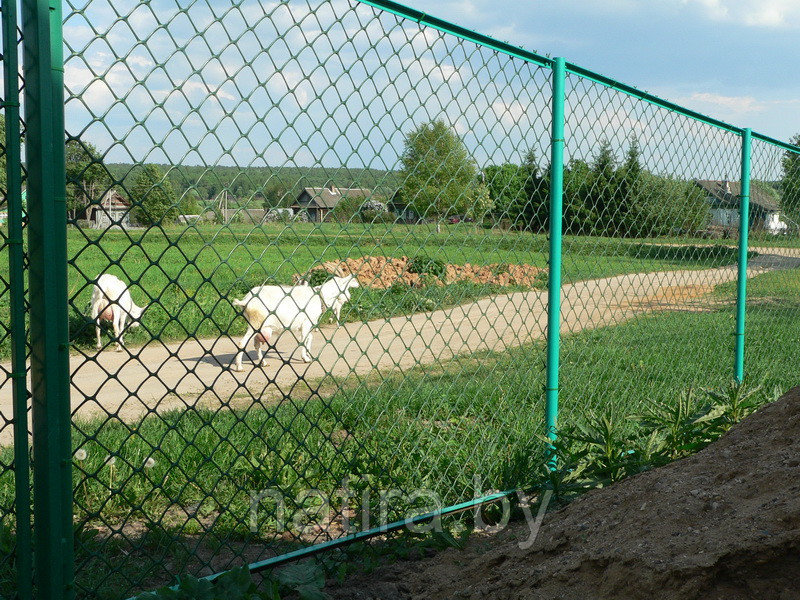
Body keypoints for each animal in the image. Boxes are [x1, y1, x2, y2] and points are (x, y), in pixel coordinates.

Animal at [230, 274, 358, 368]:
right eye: (346, 287)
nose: (348, 298)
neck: (320, 296)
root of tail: (246, 301)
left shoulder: (305, 324)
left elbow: (309, 337)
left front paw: (308, 354)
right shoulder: (306, 322)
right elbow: (304, 339)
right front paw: (305, 358)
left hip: (262, 327)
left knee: (256, 343)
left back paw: (263, 363)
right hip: (256, 323)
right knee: (242, 343)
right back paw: (239, 367)